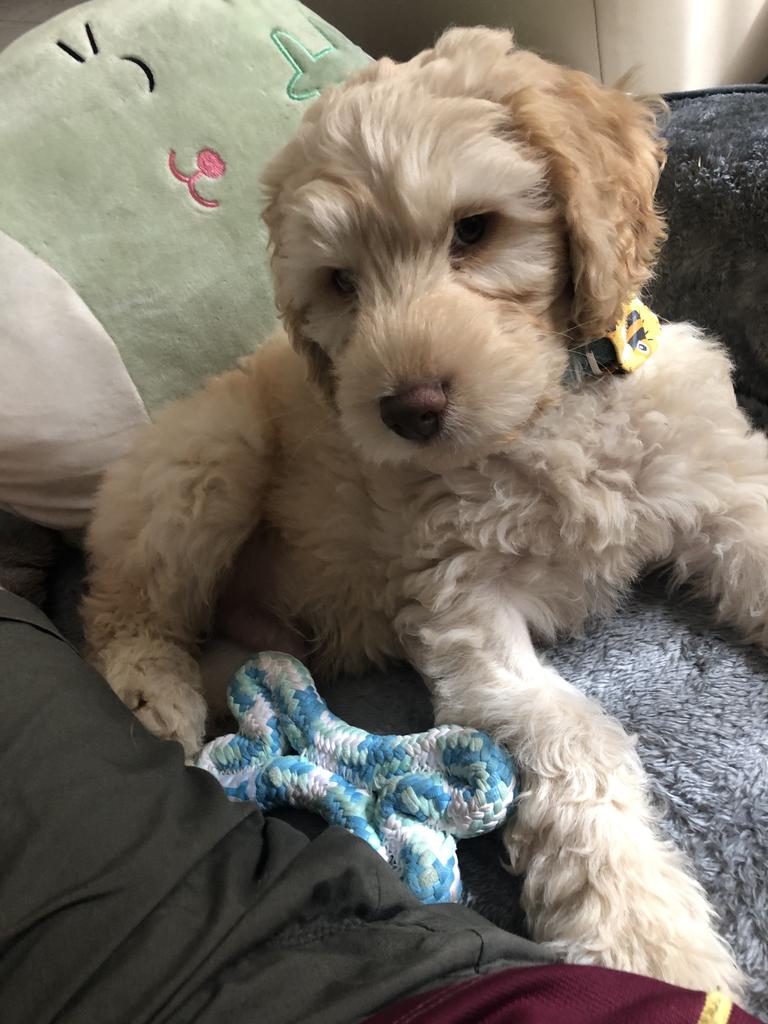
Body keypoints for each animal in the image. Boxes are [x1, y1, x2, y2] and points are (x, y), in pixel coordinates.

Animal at [81, 28, 761, 995]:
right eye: (341, 283)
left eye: (474, 231)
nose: (409, 410)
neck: (548, 412)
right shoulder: (462, 601)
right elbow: (573, 733)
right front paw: (641, 935)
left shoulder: (723, 487)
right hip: (209, 451)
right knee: (123, 605)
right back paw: (153, 693)